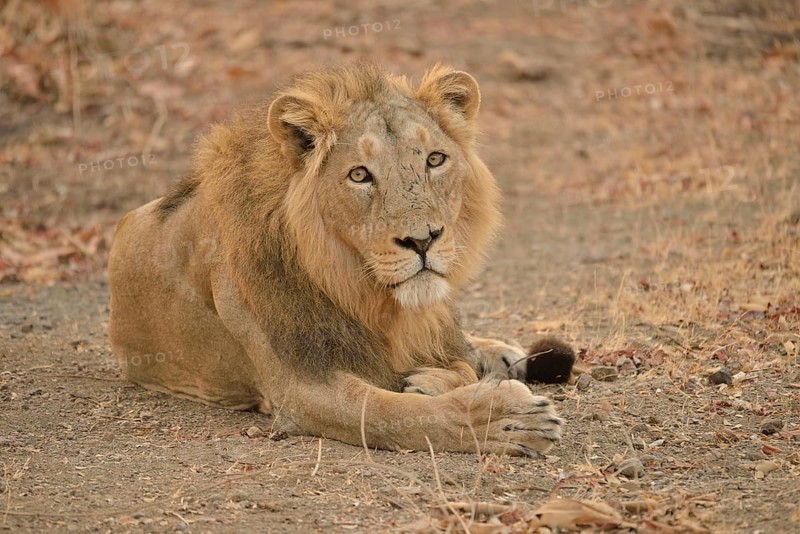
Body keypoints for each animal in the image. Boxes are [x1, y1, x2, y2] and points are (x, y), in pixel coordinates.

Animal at [108, 63, 574, 457]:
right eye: (360, 175)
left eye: (434, 159)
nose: (423, 240)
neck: (359, 288)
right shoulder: (301, 388)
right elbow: (395, 414)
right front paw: (507, 420)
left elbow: (455, 366)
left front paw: (438, 378)